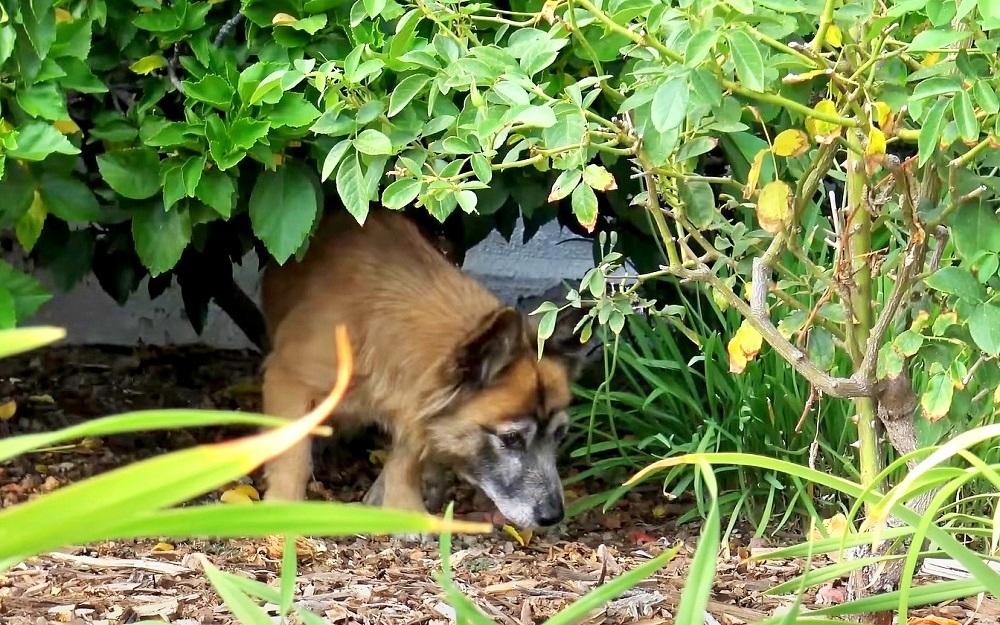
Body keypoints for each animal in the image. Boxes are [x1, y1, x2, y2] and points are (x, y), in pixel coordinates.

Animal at [256, 207, 592, 528]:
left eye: (559, 434)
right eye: (510, 439)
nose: (553, 516)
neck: (372, 330)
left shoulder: (416, 401)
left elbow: (406, 459)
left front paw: (403, 508)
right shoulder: (288, 382)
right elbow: (293, 456)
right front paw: (282, 508)